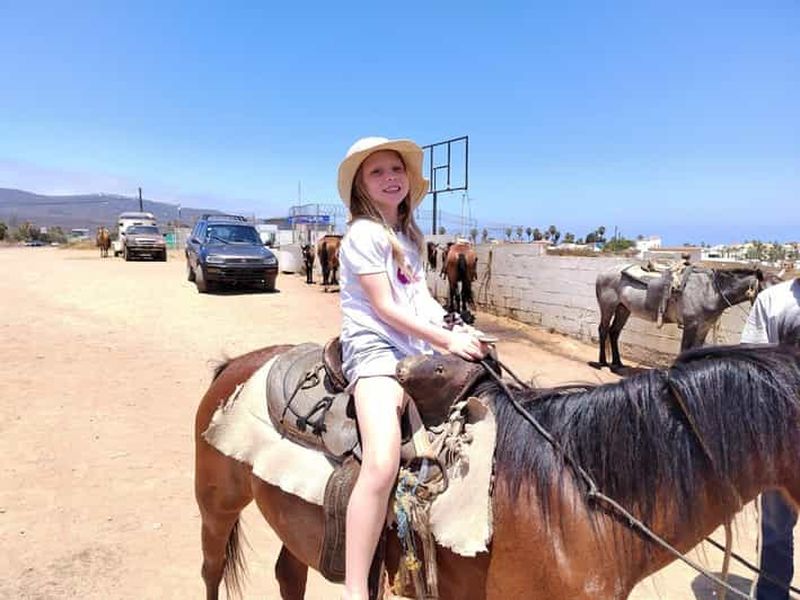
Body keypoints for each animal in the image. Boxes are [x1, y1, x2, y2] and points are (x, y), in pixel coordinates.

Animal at [594, 265, 780, 371]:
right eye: (766, 291)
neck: (711, 290)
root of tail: (603, 273)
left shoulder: (704, 327)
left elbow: (696, 350)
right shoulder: (691, 325)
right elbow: (685, 350)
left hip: (623, 309)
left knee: (614, 332)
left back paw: (617, 363)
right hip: (608, 307)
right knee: (603, 330)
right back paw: (603, 362)